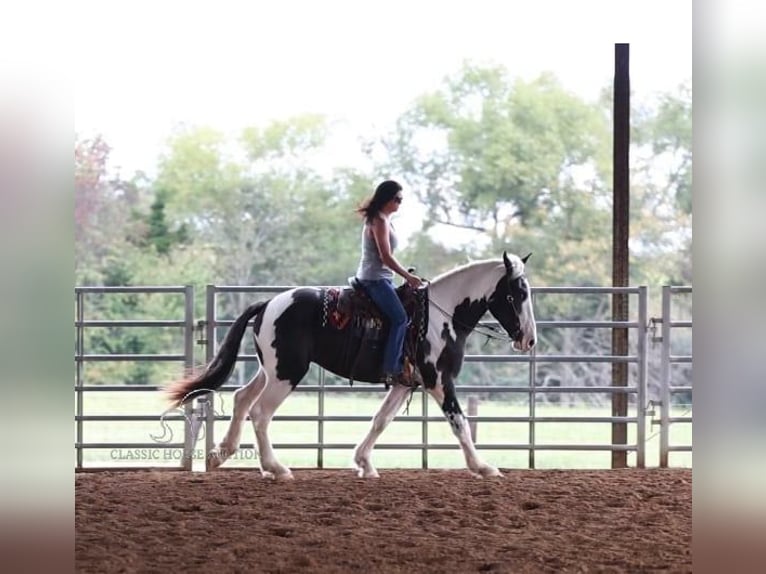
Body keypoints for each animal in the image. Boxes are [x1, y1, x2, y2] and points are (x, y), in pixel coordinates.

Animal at [170, 252, 540, 482]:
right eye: (516, 294)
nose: (529, 340)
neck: (440, 315)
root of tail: (269, 303)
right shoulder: (438, 379)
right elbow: (460, 423)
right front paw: (484, 467)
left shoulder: (404, 382)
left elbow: (380, 420)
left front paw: (364, 463)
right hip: (286, 374)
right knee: (260, 413)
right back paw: (276, 468)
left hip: (271, 370)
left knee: (242, 399)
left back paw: (221, 454)